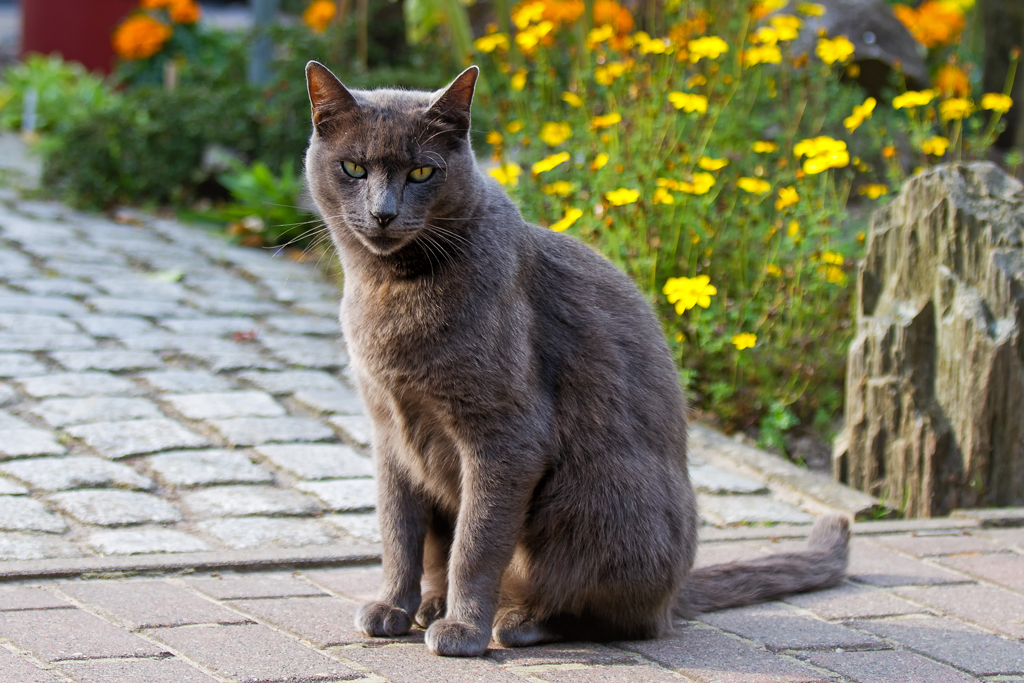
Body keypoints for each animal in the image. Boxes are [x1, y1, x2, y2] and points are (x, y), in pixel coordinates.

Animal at [305, 62, 856, 655]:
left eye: (422, 172)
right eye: (354, 167)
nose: (383, 213)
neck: (389, 290)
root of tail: (676, 593)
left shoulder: (506, 437)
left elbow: (476, 543)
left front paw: (463, 630)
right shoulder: (390, 433)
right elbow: (398, 534)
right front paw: (392, 608)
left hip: (595, 499)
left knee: (606, 612)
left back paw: (515, 620)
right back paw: (433, 606)